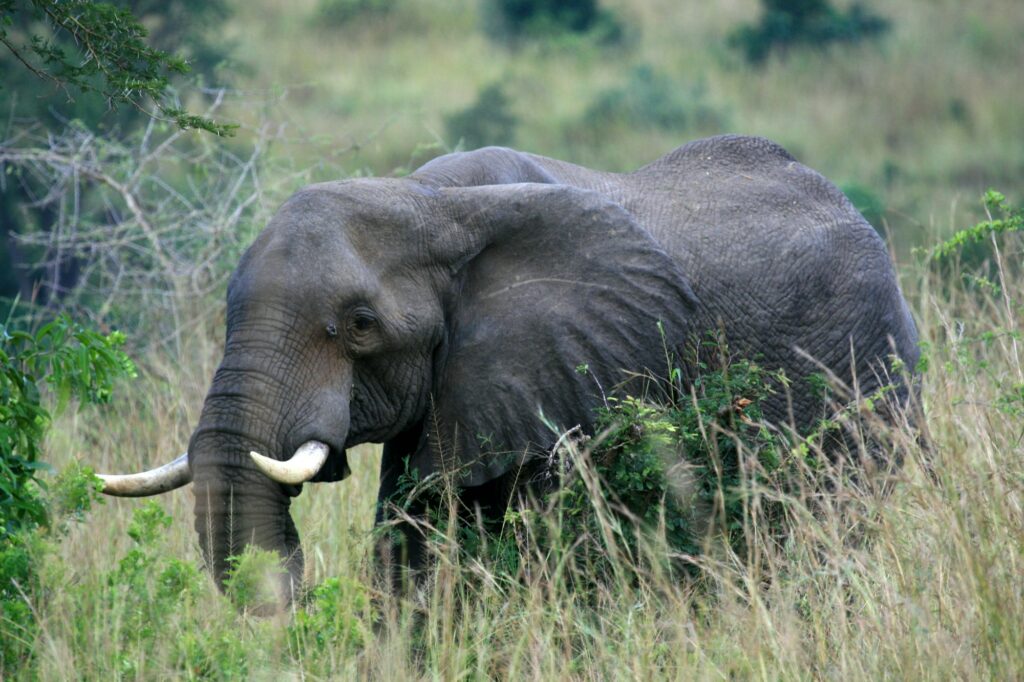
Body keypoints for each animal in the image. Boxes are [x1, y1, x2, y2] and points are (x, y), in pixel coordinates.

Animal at [97, 134, 920, 606]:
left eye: (360, 326)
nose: (293, 593)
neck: (432, 204)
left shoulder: (573, 375)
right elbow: (408, 538)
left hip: (862, 374)